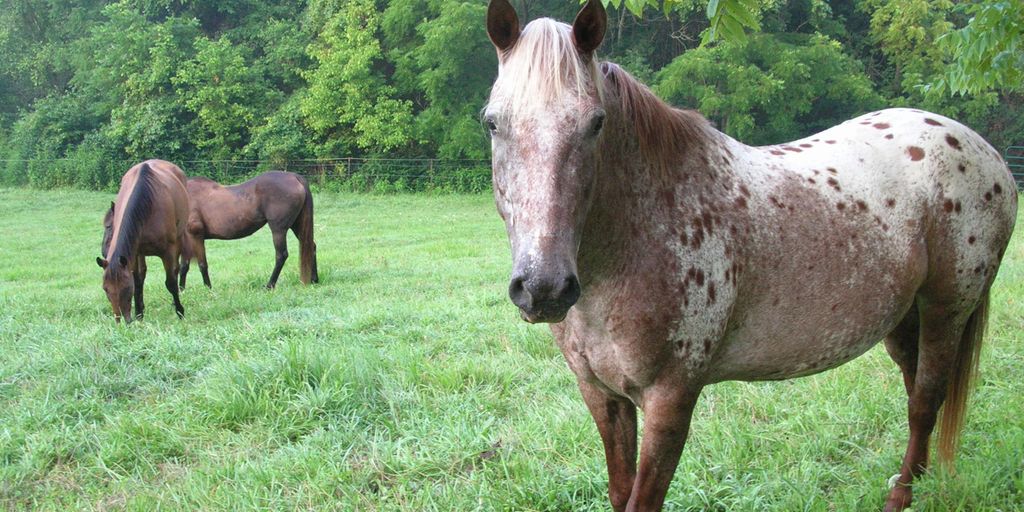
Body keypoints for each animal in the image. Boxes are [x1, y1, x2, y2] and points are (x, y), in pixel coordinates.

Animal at [98, 157, 191, 321]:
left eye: (126, 288)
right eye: (105, 289)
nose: (121, 320)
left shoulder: (168, 251)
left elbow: (171, 282)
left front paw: (180, 311)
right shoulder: (134, 253)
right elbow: (138, 280)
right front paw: (139, 314)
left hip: (179, 238)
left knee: (177, 269)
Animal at [178, 171, 315, 290]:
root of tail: (294, 177)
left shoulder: (196, 236)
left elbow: (202, 265)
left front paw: (208, 289)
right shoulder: (186, 240)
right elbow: (184, 266)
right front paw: (181, 290)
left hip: (278, 230)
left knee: (281, 255)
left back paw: (269, 285)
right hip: (297, 226)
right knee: (311, 247)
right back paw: (314, 280)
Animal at [483, 2, 1019, 509]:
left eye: (596, 124)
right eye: (492, 123)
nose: (544, 287)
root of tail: (985, 151)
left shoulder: (671, 399)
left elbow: (643, 498)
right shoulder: (602, 396)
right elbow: (620, 491)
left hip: (947, 308)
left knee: (925, 399)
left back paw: (900, 496)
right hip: (904, 317)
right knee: (916, 387)